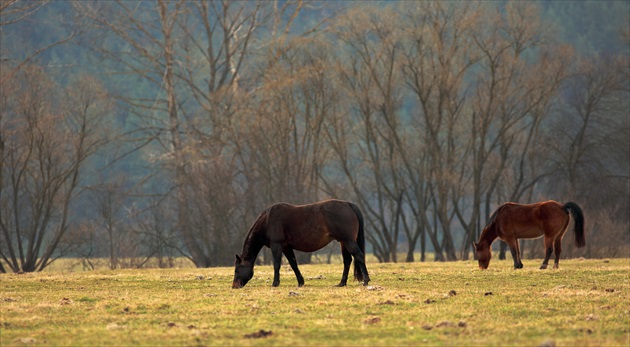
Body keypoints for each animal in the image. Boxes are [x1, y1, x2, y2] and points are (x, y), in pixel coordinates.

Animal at [232, 200, 370, 290]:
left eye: (236, 269)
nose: (234, 286)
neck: (267, 220)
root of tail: (347, 204)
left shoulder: (277, 246)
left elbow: (276, 264)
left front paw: (275, 283)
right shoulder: (286, 247)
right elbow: (293, 264)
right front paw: (300, 282)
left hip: (348, 241)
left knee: (358, 256)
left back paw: (366, 281)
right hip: (343, 242)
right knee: (347, 261)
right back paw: (341, 283)